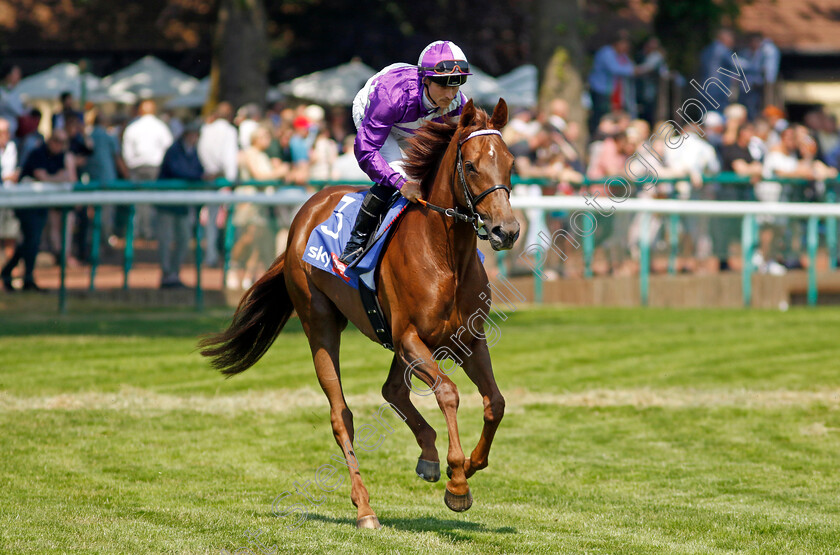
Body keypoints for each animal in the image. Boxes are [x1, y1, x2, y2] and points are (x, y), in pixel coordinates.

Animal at [202, 100, 520, 528]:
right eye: (470, 165)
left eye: (509, 161)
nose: (507, 230)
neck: (445, 255)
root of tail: (305, 212)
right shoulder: (409, 338)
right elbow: (448, 393)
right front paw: (457, 484)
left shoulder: (466, 339)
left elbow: (495, 403)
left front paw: (469, 464)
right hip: (321, 324)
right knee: (342, 415)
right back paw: (365, 507)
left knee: (393, 390)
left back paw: (427, 457)